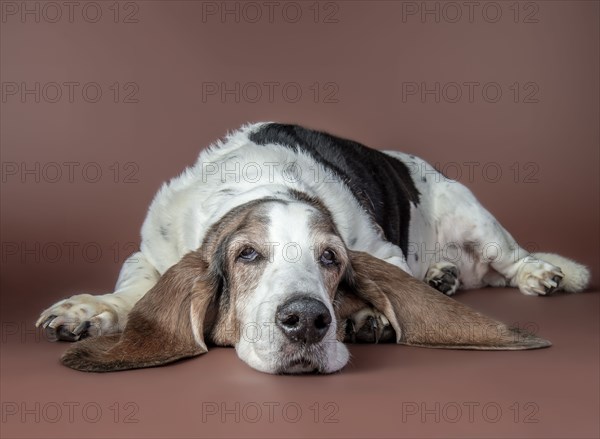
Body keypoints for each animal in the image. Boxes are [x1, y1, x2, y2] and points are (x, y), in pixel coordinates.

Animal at [36, 123, 592, 374]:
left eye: (331, 259)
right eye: (247, 255)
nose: (306, 320)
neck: (262, 183)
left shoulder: (380, 251)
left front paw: (366, 316)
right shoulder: (150, 253)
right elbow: (130, 292)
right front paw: (87, 311)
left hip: (472, 214)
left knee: (512, 260)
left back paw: (539, 273)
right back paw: (443, 276)